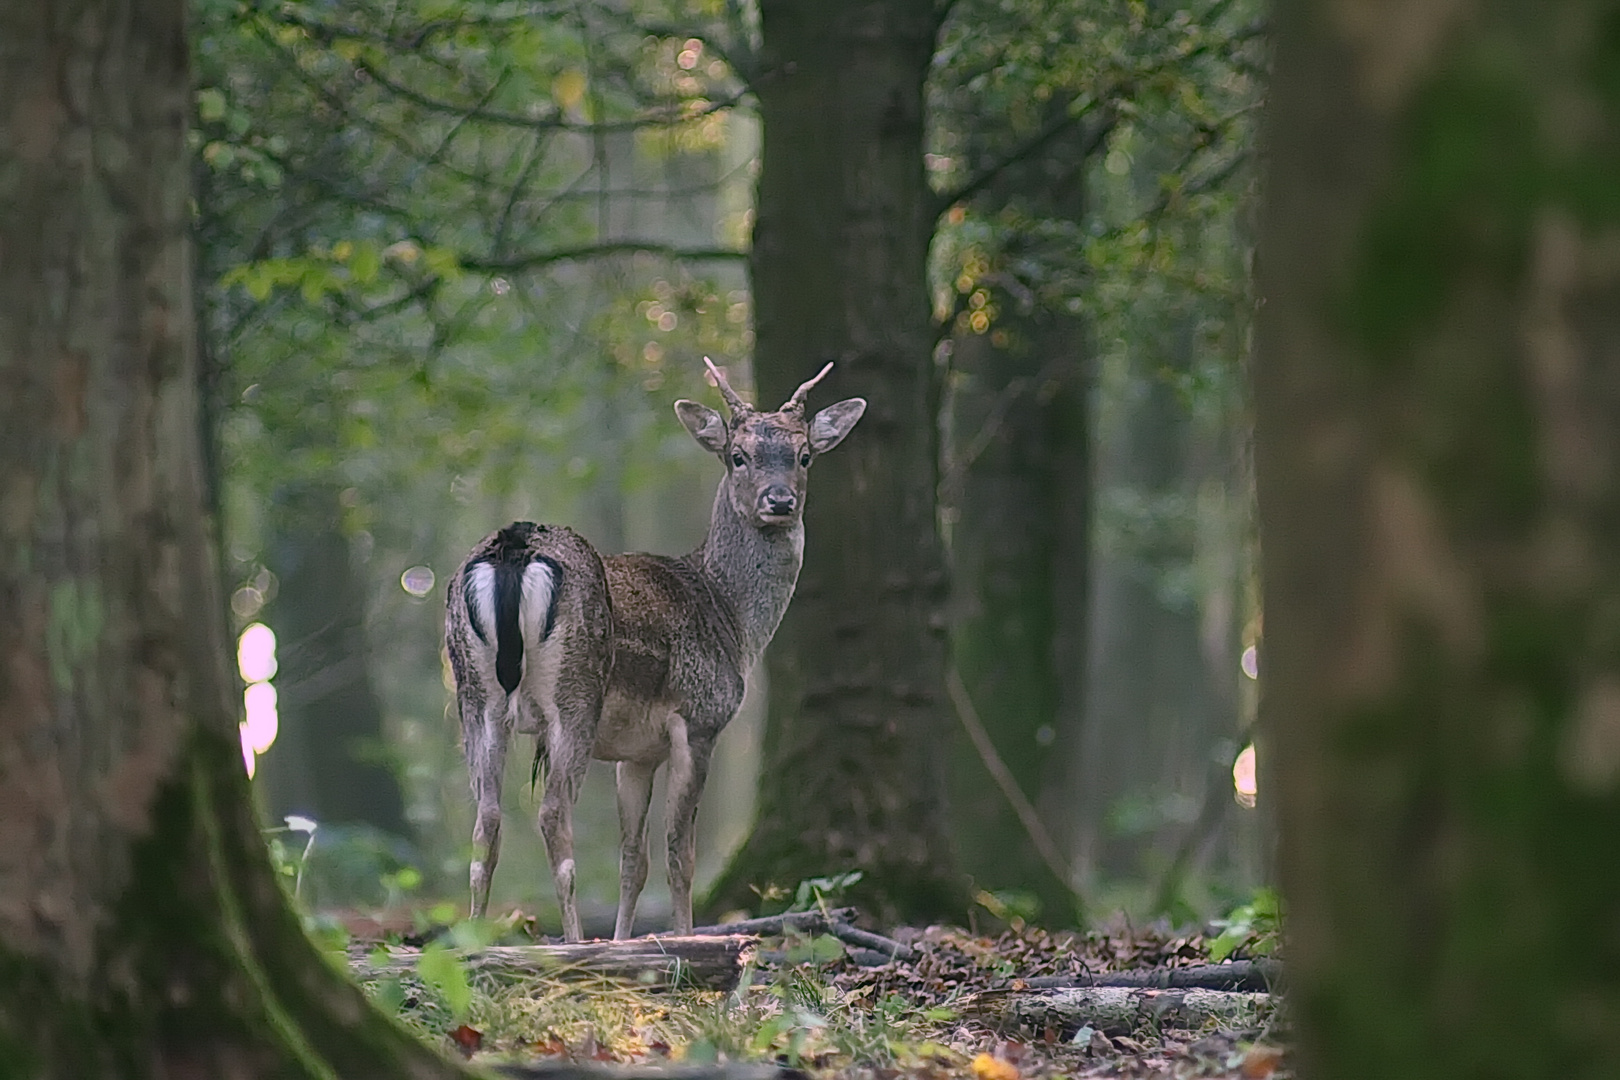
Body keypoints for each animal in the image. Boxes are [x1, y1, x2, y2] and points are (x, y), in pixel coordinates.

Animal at [447, 359, 861, 939]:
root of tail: (514, 548)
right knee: (552, 814)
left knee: (485, 822)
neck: (731, 619)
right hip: (573, 695)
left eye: (804, 454)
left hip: (475, 697)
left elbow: (633, 859)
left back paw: (475, 939)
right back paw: (573, 941)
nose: (779, 501)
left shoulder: (635, 753)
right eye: (738, 455)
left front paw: (625, 943)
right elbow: (678, 855)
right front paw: (685, 939)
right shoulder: (700, 719)